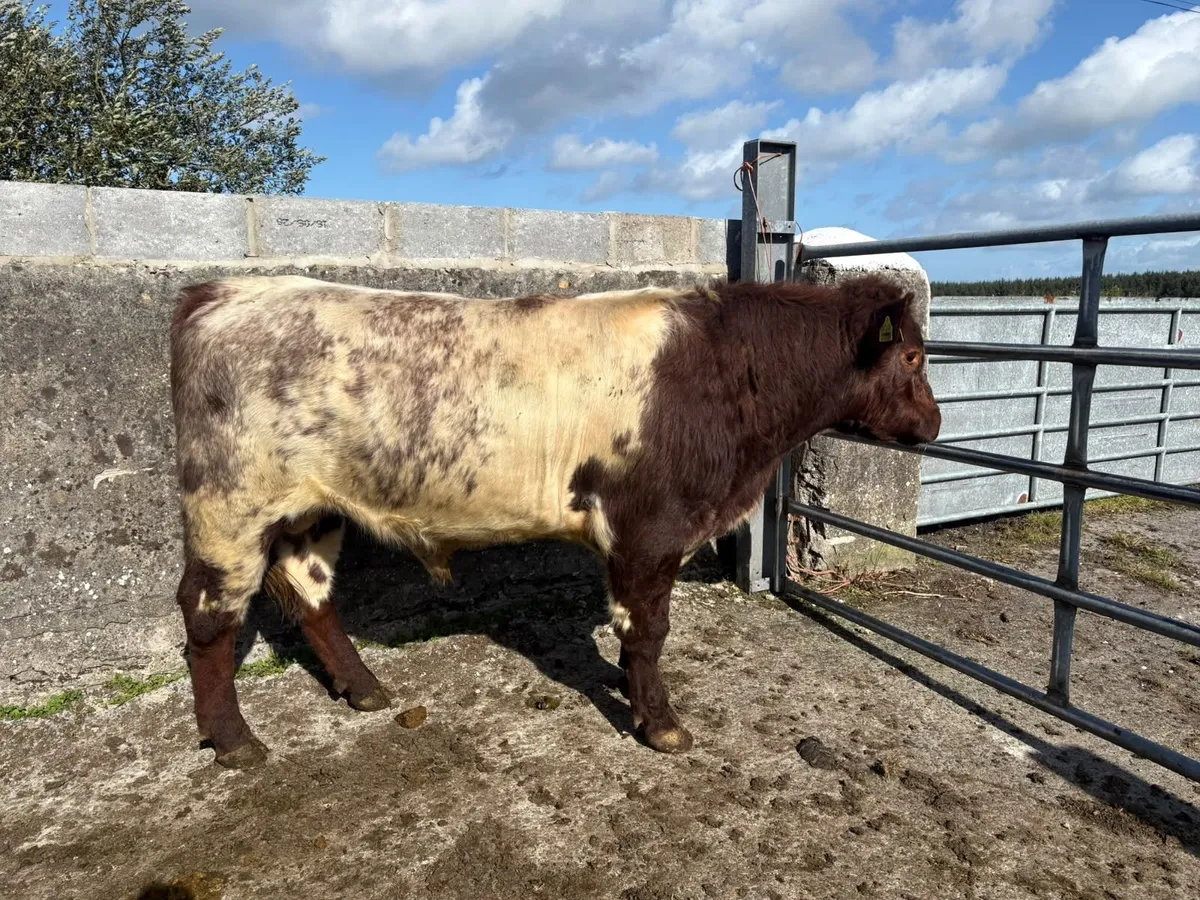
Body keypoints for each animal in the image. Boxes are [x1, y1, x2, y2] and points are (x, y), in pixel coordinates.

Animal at [168, 272, 941, 768]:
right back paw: (235, 742)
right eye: (911, 354)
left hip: (310, 509)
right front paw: (661, 724)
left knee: (311, 593)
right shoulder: (648, 531)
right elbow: (648, 631)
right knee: (206, 616)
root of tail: (223, 292)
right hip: (230, 507)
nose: (934, 424)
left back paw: (363, 689)